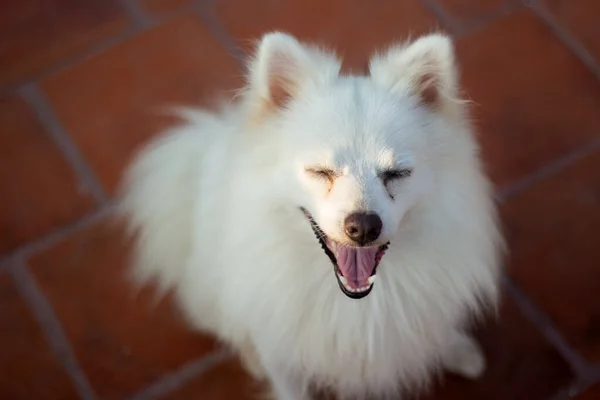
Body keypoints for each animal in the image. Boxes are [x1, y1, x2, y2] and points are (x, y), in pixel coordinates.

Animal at [119, 32, 504, 400]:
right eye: (321, 172)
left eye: (396, 174)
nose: (363, 226)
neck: (356, 303)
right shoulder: (281, 351)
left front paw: (453, 347)